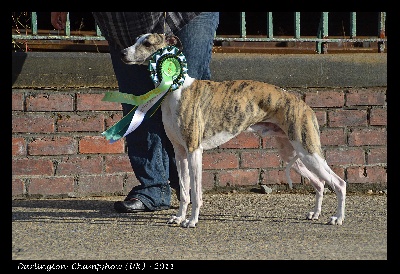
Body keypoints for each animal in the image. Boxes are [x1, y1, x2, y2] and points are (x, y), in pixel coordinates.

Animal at [119, 33, 346, 228]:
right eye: (136, 39)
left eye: (147, 43)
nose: (122, 53)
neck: (177, 88)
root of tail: (305, 105)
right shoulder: (180, 152)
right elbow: (184, 191)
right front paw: (179, 217)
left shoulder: (194, 151)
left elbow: (195, 193)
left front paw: (191, 221)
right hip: (292, 153)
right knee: (319, 183)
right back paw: (315, 213)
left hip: (309, 151)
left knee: (339, 183)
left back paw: (337, 218)